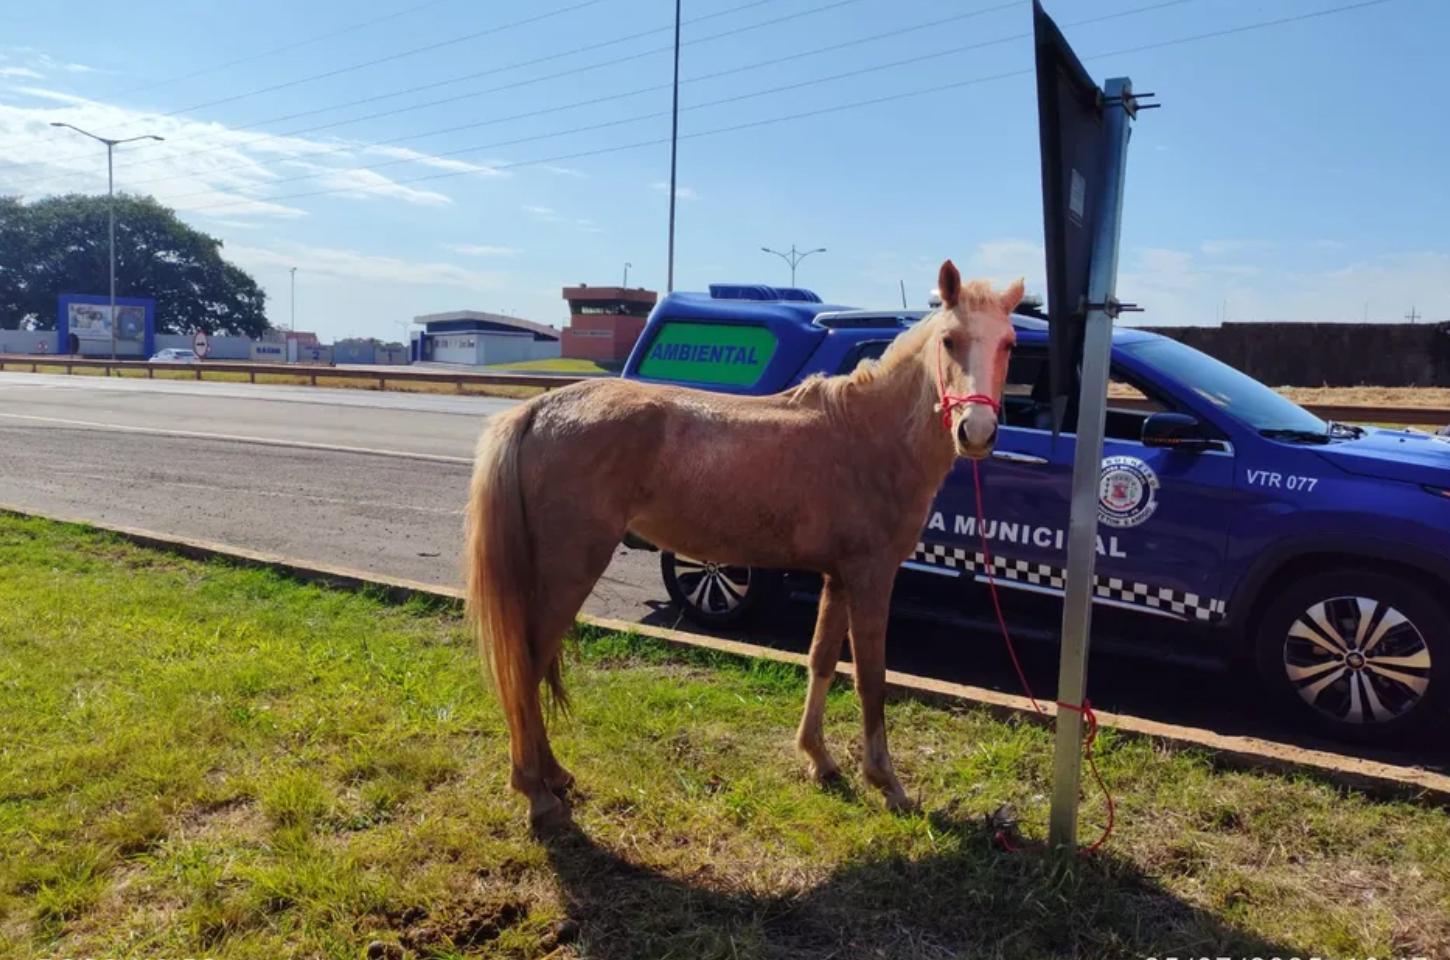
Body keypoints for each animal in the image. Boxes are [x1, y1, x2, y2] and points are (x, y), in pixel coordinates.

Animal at [465, 260, 1023, 828]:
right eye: (950, 340)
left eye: (1009, 344)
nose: (977, 432)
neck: (869, 435)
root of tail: (538, 409)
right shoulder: (872, 577)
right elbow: (872, 679)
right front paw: (887, 784)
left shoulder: (838, 578)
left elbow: (822, 661)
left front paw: (819, 759)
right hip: (570, 569)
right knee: (526, 665)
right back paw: (536, 792)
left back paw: (553, 775)